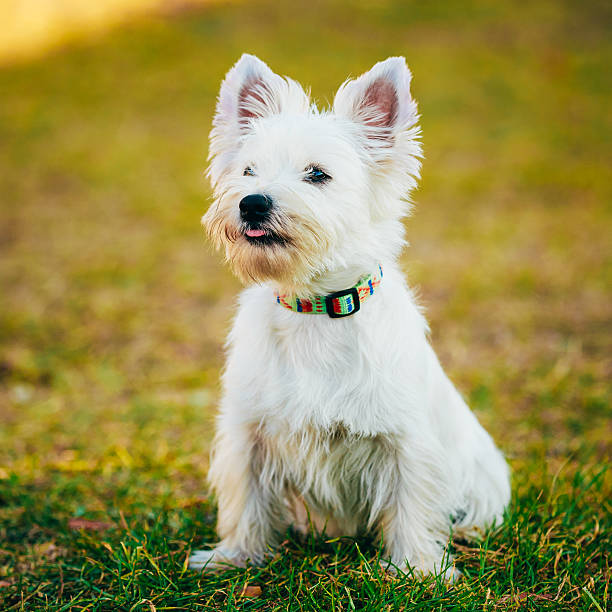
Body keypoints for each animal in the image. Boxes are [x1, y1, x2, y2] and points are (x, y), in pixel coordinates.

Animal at [191, 53, 512, 580]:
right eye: (248, 171)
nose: (251, 203)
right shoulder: (249, 433)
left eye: (317, 174)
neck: (316, 307)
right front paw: (235, 557)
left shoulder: (405, 440)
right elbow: (247, 500)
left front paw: (418, 570)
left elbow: (412, 505)